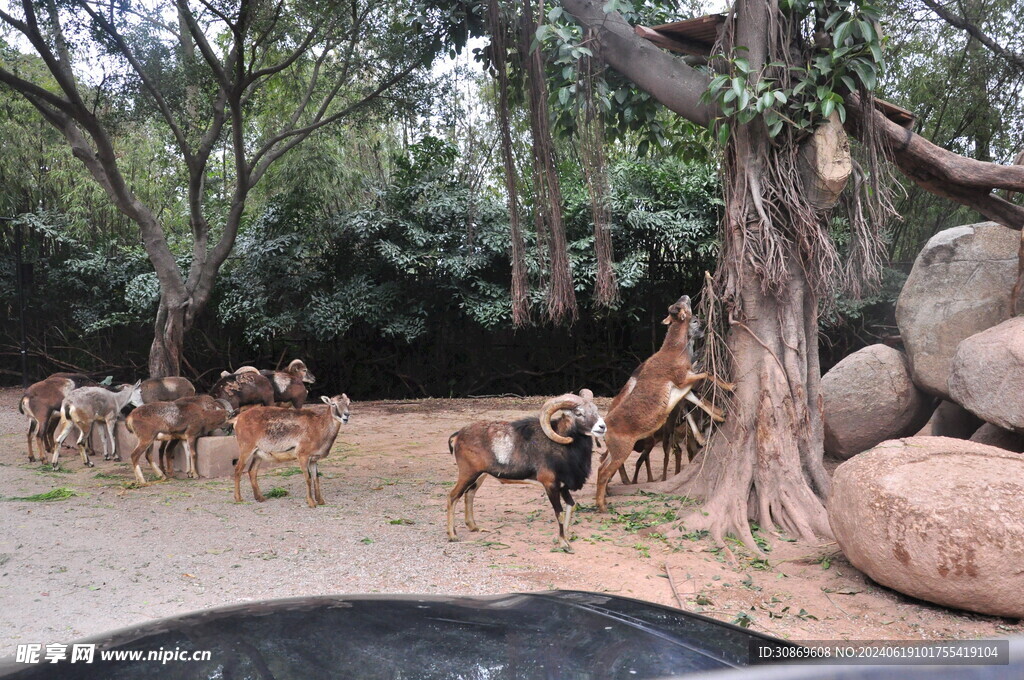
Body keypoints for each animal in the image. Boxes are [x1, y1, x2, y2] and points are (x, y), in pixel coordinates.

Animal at [444, 387, 602, 553]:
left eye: (595, 410)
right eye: (578, 413)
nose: (602, 427)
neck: (562, 448)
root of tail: (458, 435)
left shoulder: (563, 487)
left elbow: (570, 506)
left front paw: (567, 539)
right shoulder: (550, 485)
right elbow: (559, 513)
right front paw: (563, 544)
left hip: (480, 476)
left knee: (469, 494)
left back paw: (474, 527)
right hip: (468, 474)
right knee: (453, 497)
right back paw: (453, 536)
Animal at [598, 294, 733, 512]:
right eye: (682, 307)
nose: (685, 296)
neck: (674, 351)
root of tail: (604, 425)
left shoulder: (682, 389)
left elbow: (698, 401)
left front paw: (720, 415)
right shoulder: (683, 378)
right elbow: (708, 374)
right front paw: (730, 386)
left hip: (615, 449)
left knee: (601, 464)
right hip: (623, 449)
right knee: (603, 471)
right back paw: (603, 506)